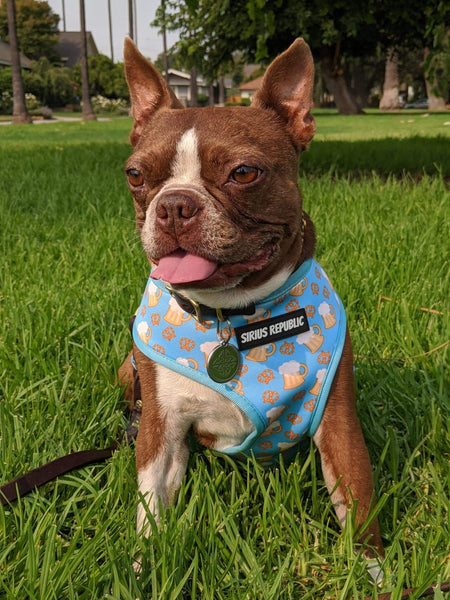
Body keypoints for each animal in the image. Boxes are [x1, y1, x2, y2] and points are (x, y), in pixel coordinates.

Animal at [118, 36, 384, 572]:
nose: (173, 204)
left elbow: (357, 496)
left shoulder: (338, 420)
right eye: (136, 175)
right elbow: (151, 498)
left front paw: (376, 572)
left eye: (243, 173)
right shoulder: (161, 429)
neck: (234, 318)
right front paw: (141, 567)